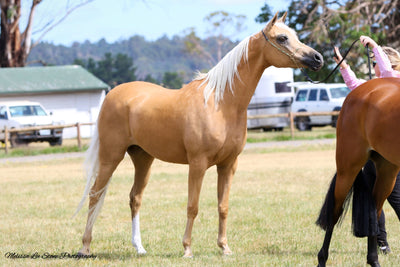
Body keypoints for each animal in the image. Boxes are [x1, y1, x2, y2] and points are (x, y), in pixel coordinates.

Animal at [75, 12, 324, 258]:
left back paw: (140, 248)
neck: (221, 103)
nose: (317, 58)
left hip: (143, 158)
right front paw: (187, 249)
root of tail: (113, 94)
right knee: (95, 195)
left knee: (135, 198)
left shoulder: (228, 165)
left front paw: (224, 247)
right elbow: (192, 206)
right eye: (282, 38)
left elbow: (223, 206)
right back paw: (85, 247)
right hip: (111, 156)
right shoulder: (198, 164)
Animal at [318, 77, 400, 267]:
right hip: (347, 168)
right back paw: (321, 259)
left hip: (388, 170)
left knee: (374, 213)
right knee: (335, 212)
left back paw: (374, 260)